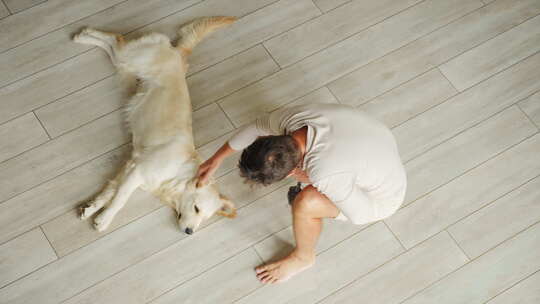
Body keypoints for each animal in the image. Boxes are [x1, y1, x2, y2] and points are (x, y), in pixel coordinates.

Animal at [73, 16, 236, 234]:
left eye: (204, 218)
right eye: (196, 208)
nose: (189, 232)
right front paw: (105, 219)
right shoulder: (137, 173)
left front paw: (91, 208)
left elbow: (109, 192)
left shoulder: (129, 167)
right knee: (116, 39)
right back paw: (83, 35)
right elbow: (120, 200)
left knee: (113, 45)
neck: (177, 174)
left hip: (126, 64)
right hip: (131, 58)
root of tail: (179, 52)